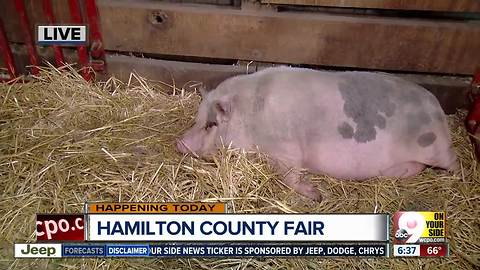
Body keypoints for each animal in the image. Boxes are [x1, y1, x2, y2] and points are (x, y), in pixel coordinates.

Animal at [175, 66, 458, 201]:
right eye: (197, 119)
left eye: (211, 124)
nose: (179, 143)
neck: (252, 117)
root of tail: (437, 109)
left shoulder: (286, 150)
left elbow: (290, 176)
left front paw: (316, 195)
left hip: (435, 148)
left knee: (454, 161)